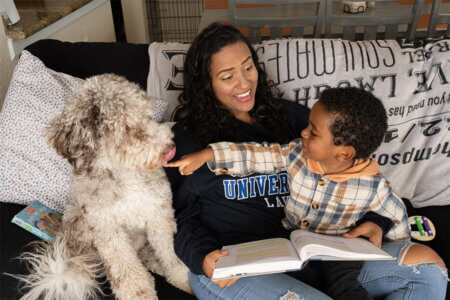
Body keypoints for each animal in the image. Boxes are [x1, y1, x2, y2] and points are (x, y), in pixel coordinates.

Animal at [14, 74, 192, 298]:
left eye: (147, 115)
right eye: (128, 127)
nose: (169, 147)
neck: (124, 173)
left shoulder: (159, 215)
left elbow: (170, 253)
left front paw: (184, 279)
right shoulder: (108, 231)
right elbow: (127, 272)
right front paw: (139, 294)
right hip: (79, 223)